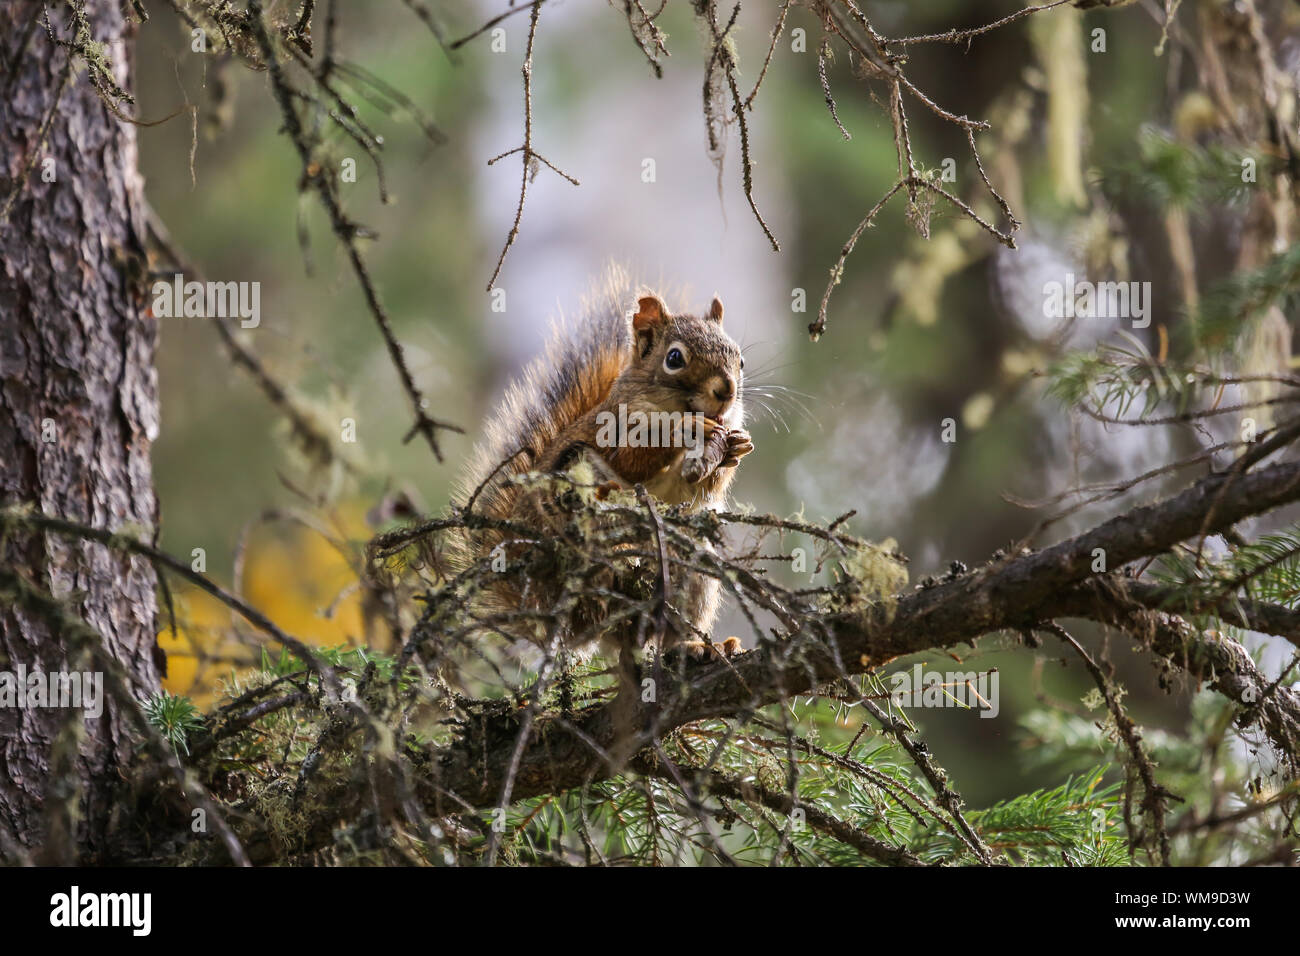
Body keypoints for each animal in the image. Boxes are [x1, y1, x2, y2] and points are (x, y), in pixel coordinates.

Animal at [449, 265, 754, 660]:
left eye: (740, 359)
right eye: (674, 359)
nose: (727, 390)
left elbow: (700, 488)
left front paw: (735, 447)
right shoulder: (613, 432)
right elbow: (633, 460)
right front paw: (684, 429)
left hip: (695, 570)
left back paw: (696, 646)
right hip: (575, 489)